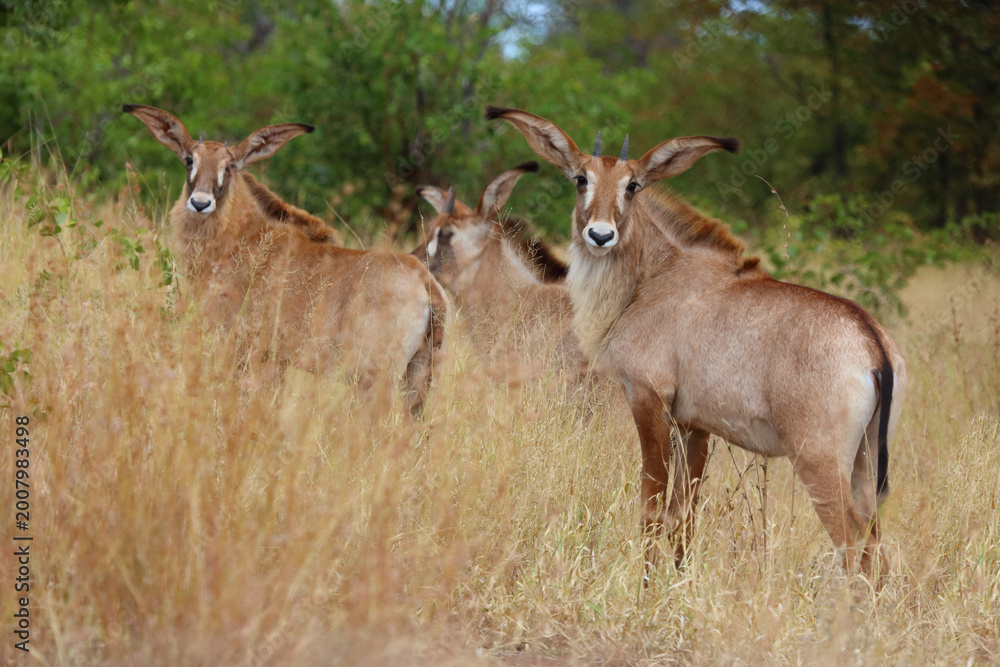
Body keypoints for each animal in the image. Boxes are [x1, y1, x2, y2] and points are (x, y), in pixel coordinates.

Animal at [124, 104, 448, 414]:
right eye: (189, 160)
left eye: (230, 166)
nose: (200, 203)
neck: (242, 238)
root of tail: (427, 286)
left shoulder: (248, 351)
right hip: (417, 377)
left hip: (373, 377)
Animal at [487, 106, 907, 579]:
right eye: (581, 178)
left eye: (633, 185)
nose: (600, 235)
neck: (655, 277)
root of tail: (872, 343)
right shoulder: (694, 424)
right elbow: (683, 516)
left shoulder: (647, 398)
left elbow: (652, 509)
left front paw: (646, 585)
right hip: (864, 464)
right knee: (875, 547)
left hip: (820, 462)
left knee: (855, 544)